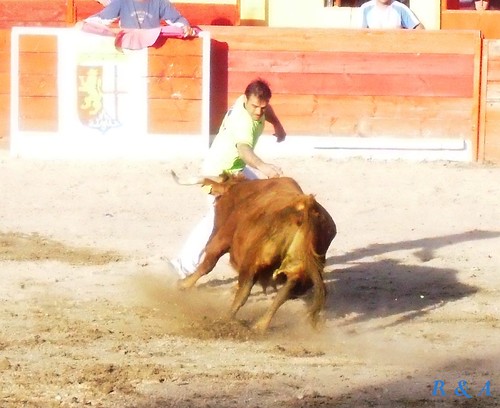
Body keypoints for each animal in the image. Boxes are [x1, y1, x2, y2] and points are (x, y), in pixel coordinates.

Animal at [178, 175, 338, 332]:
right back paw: (260, 325)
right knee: (285, 292)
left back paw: (226, 319)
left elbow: (208, 264)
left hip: (253, 258)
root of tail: (306, 207)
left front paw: (184, 285)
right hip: (299, 268)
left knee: (244, 290)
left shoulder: (223, 237)